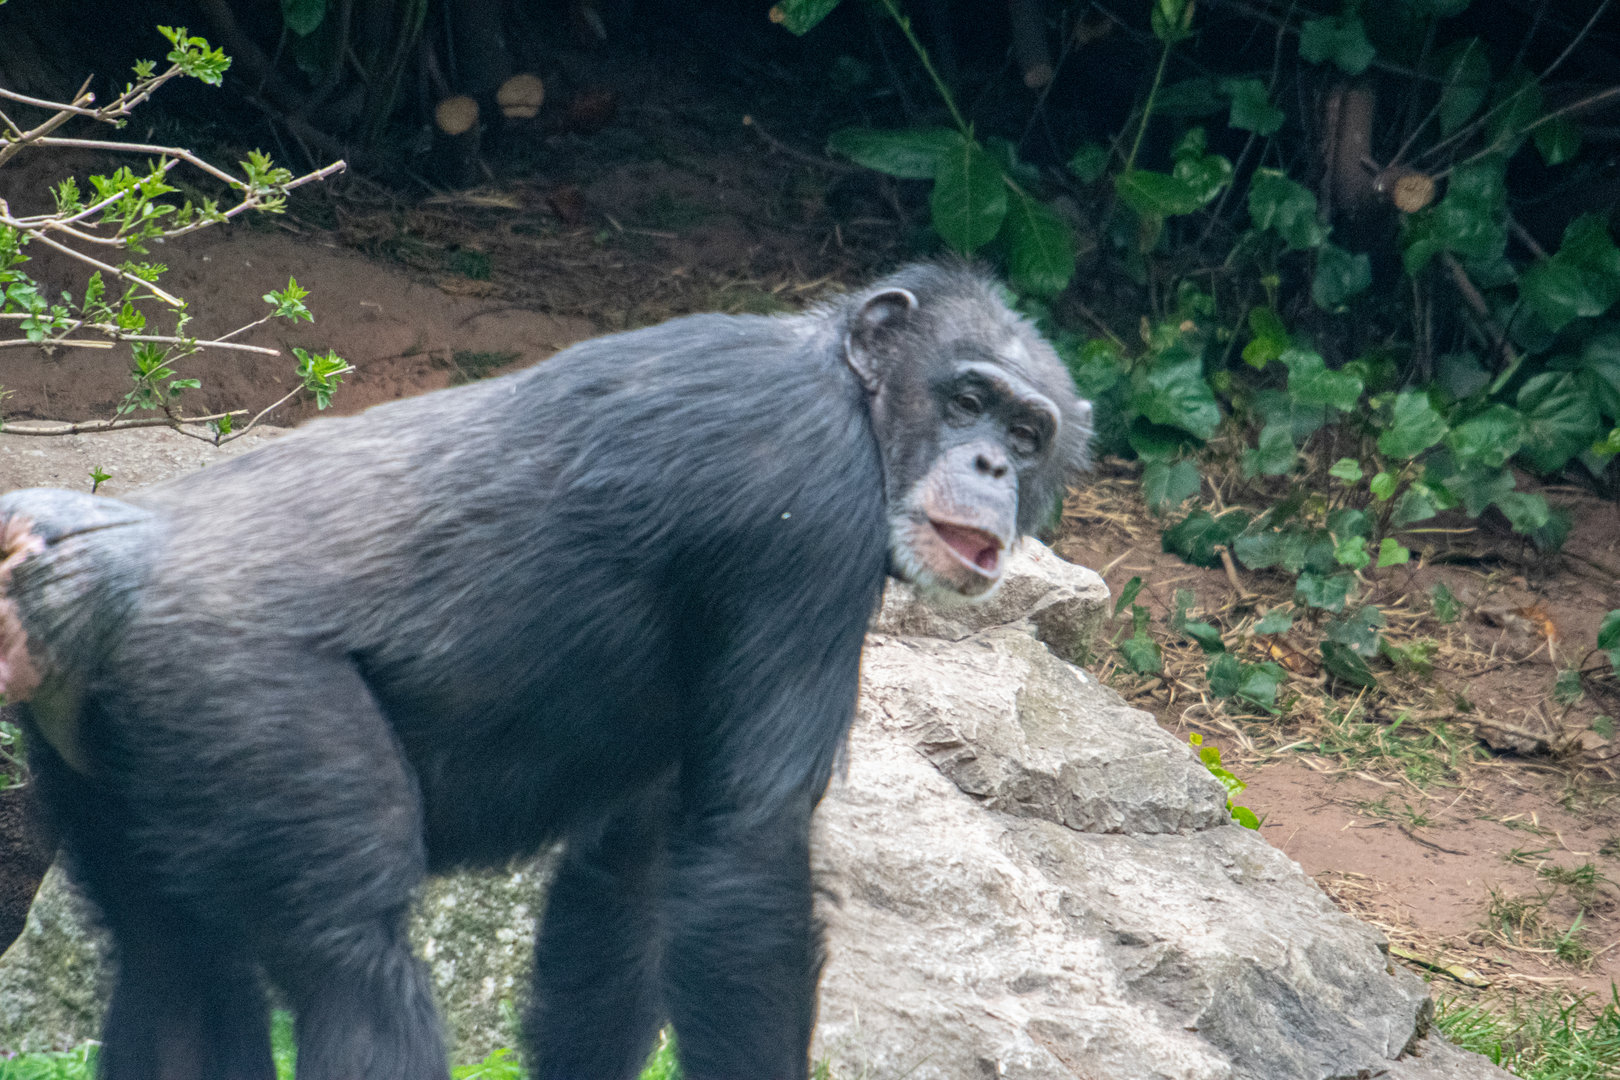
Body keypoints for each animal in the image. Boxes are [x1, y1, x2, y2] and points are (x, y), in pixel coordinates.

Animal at [0, 262, 1091, 1080]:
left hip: (105, 745)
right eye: (967, 398)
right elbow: (745, 855)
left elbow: (632, 880)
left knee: (171, 964)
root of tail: (83, 563)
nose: (993, 465)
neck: (857, 405)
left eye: (1026, 432)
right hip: (239, 688)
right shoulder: (807, 510)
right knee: (352, 963)